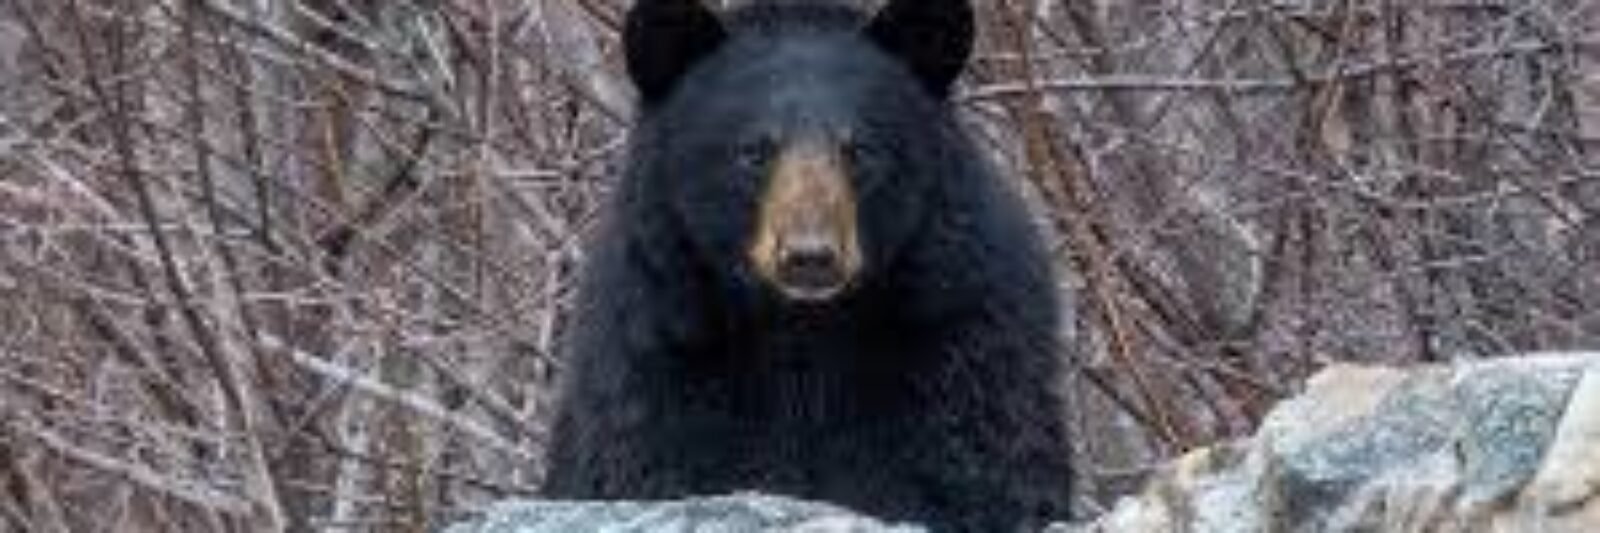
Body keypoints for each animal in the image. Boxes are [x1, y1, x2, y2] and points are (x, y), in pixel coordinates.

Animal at [541, 0, 1074, 531]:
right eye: (753, 151)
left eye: (860, 149)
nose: (809, 257)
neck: (803, 330)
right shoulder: (661, 356)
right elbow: (650, 466)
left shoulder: (960, 345)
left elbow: (974, 473)